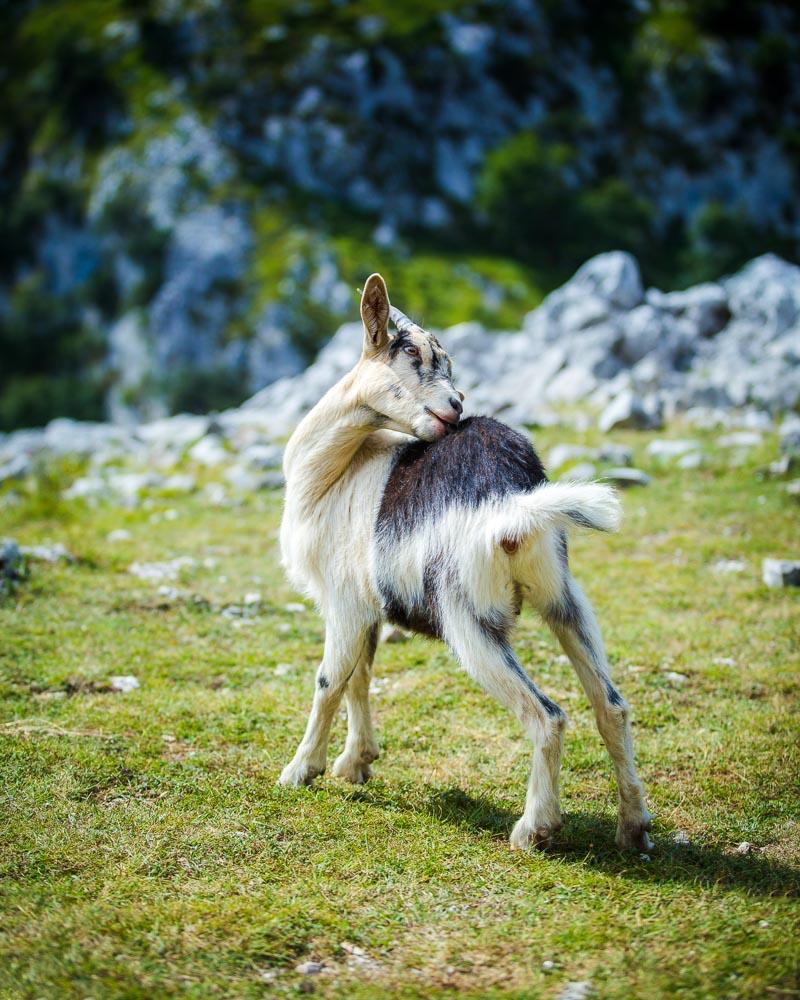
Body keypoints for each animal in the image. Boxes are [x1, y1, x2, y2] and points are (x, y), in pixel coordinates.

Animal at [278, 274, 652, 852]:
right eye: (410, 352)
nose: (456, 404)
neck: (332, 473)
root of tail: (514, 500)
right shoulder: (368, 606)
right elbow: (361, 678)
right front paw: (355, 763)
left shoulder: (342, 602)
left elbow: (329, 682)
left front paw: (301, 770)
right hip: (561, 592)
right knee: (610, 705)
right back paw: (633, 827)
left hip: (467, 614)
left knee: (548, 716)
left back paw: (534, 828)